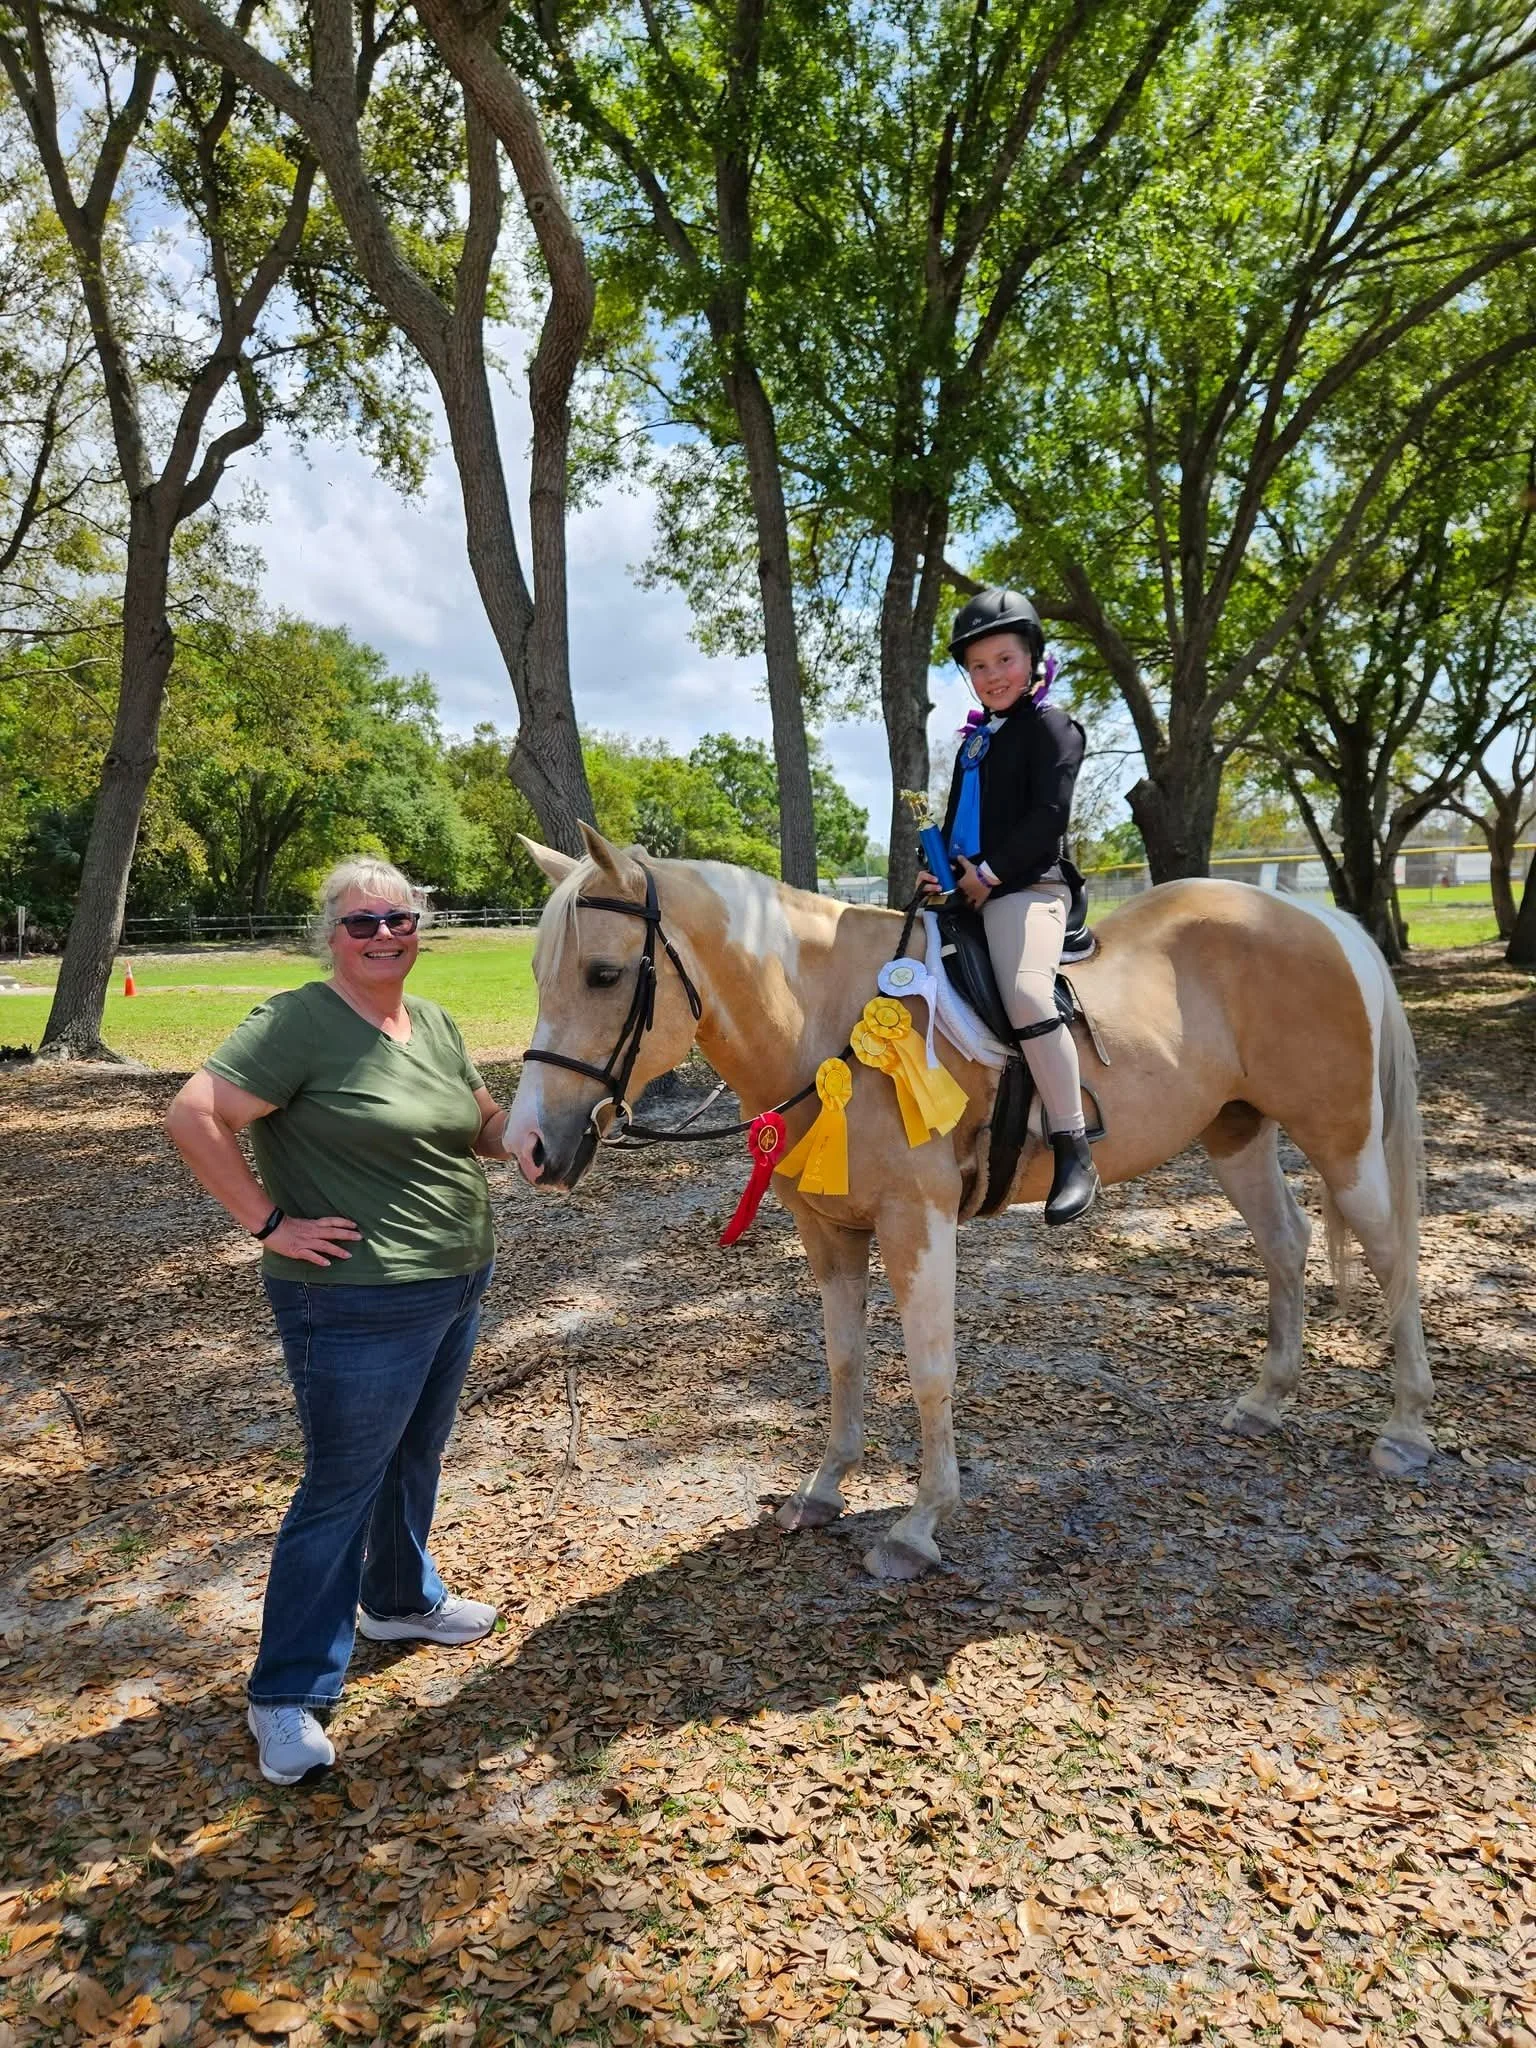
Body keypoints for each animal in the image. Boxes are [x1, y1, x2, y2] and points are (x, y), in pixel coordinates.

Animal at [505, 826, 1432, 1581]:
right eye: (539, 973)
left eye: (604, 973)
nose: (528, 1147)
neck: (828, 1023)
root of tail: (1315, 918)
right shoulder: (828, 1230)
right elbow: (844, 1361)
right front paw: (824, 1490)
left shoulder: (916, 1223)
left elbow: (929, 1370)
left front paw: (918, 1527)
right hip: (1235, 1134)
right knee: (1286, 1243)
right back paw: (1266, 1402)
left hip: (1341, 1140)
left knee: (1392, 1258)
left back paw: (1405, 1431)